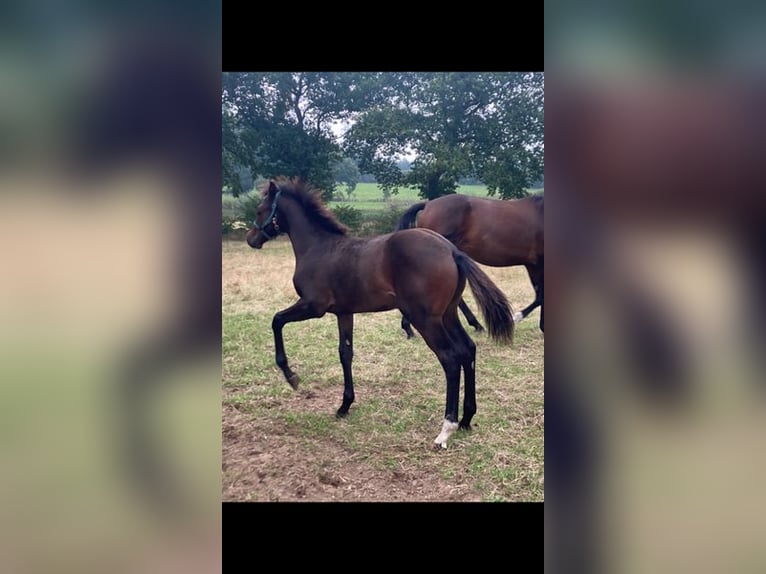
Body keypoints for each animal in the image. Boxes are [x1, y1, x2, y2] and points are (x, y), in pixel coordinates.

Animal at [248, 179, 516, 450]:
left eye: (260, 210)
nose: (251, 239)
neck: (318, 248)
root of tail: (451, 250)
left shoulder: (314, 306)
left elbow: (277, 320)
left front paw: (291, 376)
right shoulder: (344, 312)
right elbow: (345, 354)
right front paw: (344, 405)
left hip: (425, 319)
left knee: (450, 358)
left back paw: (446, 429)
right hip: (447, 314)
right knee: (467, 349)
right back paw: (467, 418)